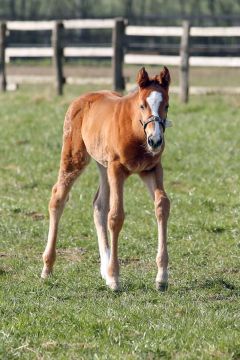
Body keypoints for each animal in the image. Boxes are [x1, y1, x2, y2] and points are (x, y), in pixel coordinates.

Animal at [42, 67, 172, 292]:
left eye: (167, 105)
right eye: (142, 105)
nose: (155, 141)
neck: (136, 131)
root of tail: (83, 97)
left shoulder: (151, 169)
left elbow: (162, 205)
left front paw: (161, 276)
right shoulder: (117, 168)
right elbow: (116, 216)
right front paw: (114, 277)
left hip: (103, 165)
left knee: (98, 204)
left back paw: (104, 267)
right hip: (75, 157)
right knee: (58, 198)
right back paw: (47, 268)